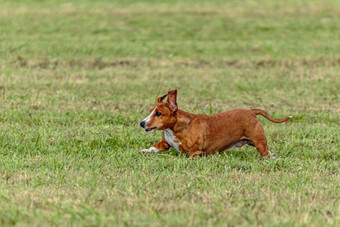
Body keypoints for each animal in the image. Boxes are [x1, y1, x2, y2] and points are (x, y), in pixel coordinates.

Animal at [139, 89, 290, 158]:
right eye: (151, 111)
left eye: (158, 113)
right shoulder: (164, 144)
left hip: (259, 143)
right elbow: (154, 148)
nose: (141, 123)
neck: (175, 129)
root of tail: (252, 112)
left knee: (266, 153)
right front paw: (146, 150)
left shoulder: (194, 153)